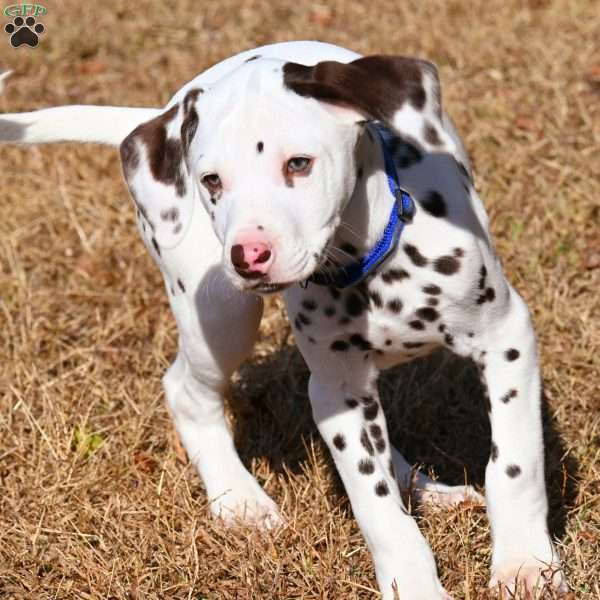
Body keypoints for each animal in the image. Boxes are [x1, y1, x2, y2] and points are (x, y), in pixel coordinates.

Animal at [0, 41, 564, 600]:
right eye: (211, 180)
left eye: (298, 163)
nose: (248, 256)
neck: (370, 263)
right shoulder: (336, 391)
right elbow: (378, 509)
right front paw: (416, 586)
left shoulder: (506, 339)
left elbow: (514, 466)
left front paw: (524, 564)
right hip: (222, 316)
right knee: (185, 390)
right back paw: (239, 500)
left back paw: (426, 488)